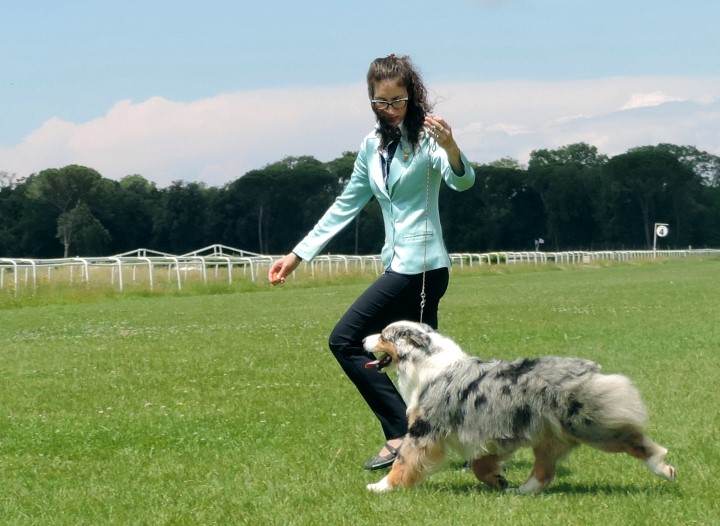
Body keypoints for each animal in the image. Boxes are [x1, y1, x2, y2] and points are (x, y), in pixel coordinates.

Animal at [362, 322, 676, 496]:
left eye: (384, 334)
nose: (363, 339)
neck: (423, 362)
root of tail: (588, 369)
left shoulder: (424, 429)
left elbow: (404, 461)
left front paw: (382, 487)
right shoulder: (493, 435)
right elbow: (480, 464)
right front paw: (498, 480)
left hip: (588, 425)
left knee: (634, 441)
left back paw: (663, 467)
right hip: (549, 435)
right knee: (543, 471)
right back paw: (521, 491)